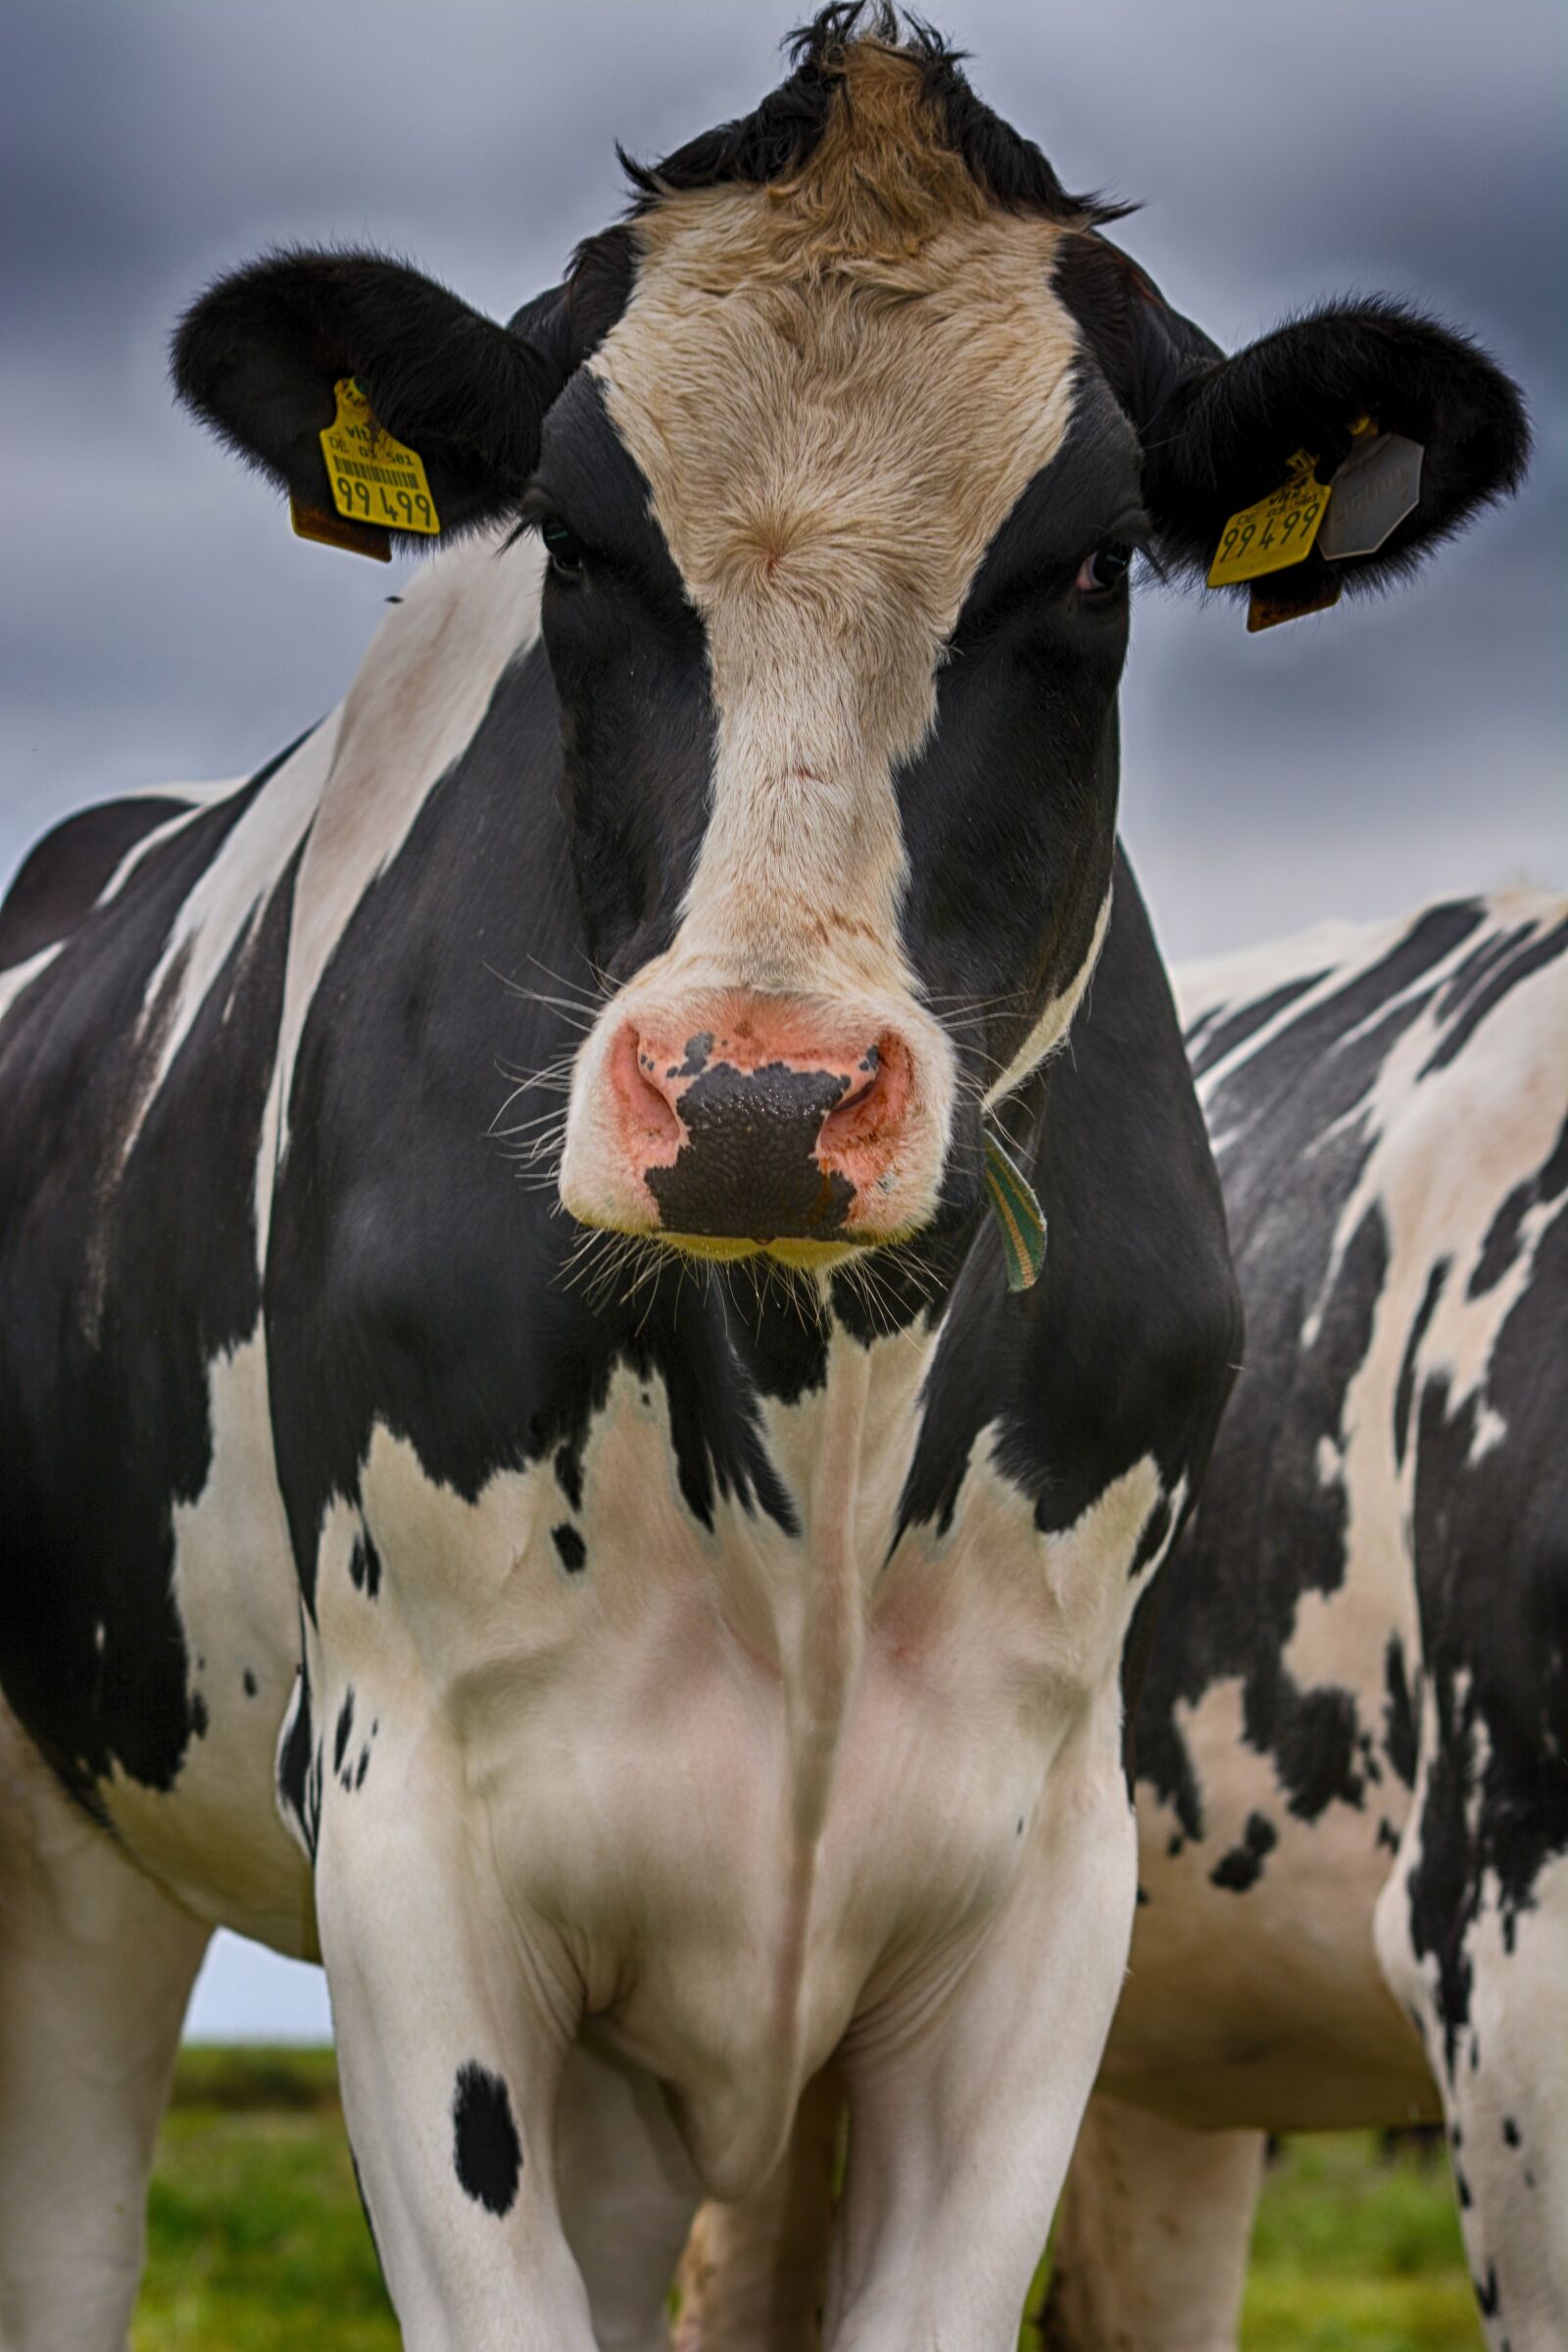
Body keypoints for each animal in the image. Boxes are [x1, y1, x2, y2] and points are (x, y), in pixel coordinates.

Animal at [0, 10, 1528, 2348]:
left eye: (1092, 565)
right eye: (568, 544)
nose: (749, 1100)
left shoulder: (1051, 1897)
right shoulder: (408, 1840)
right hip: (71, 1847)